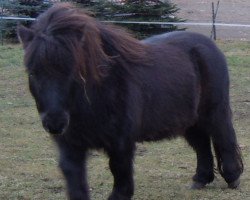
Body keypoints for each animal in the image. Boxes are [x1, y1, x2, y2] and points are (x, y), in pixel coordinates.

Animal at [17, 3, 242, 200]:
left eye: (72, 70)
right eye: (32, 72)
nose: (55, 123)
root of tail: (209, 45)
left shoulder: (121, 143)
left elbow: (121, 180)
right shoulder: (71, 148)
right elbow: (76, 186)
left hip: (215, 111)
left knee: (224, 138)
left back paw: (232, 178)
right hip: (190, 120)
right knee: (202, 144)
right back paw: (200, 179)